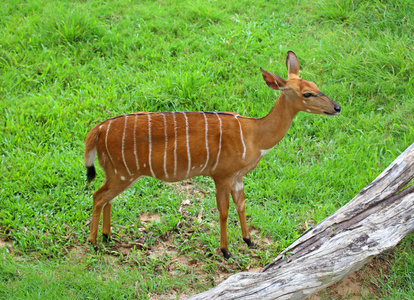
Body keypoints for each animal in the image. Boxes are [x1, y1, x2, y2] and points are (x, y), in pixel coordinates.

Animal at [83, 51, 340, 258]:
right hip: (123, 173)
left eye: (316, 86)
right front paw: (225, 251)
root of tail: (99, 129)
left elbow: (242, 205)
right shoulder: (222, 175)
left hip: (117, 174)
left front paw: (249, 241)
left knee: (107, 198)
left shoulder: (238, 177)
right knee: (98, 196)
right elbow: (224, 211)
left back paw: (107, 237)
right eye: (307, 94)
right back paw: (94, 243)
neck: (254, 135)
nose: (337, 107)